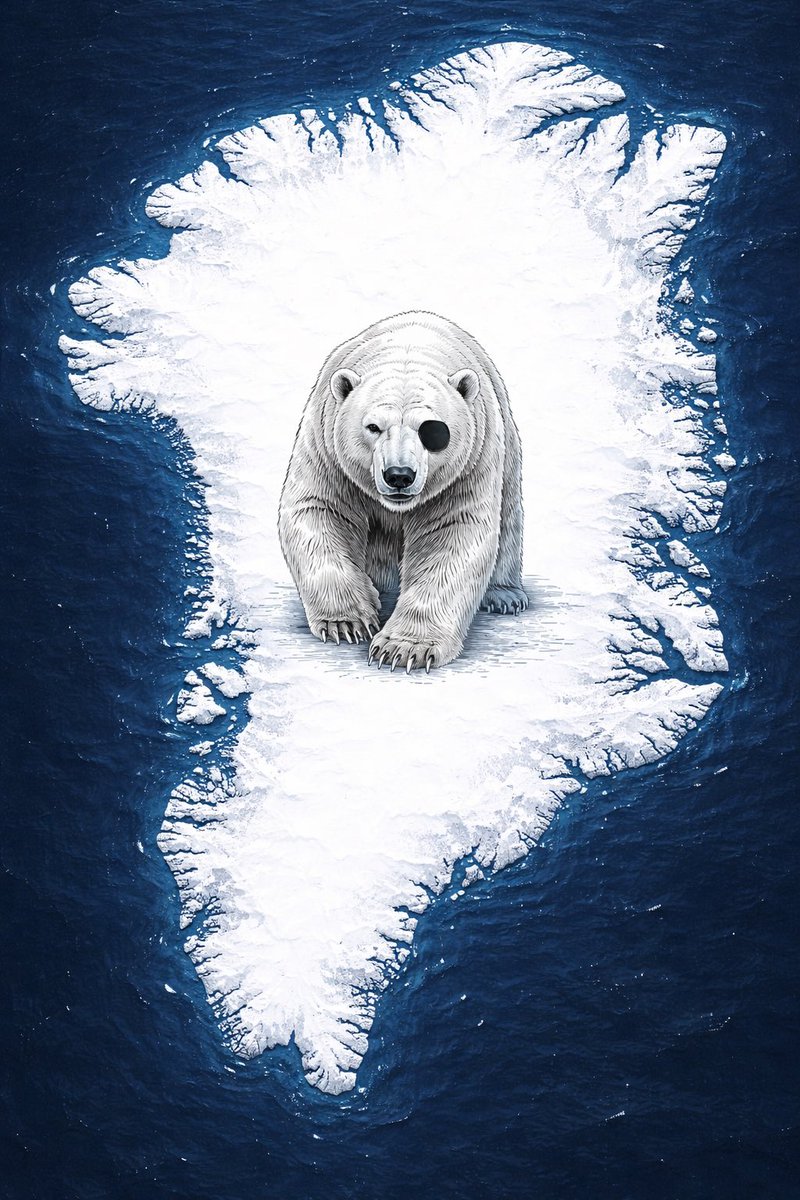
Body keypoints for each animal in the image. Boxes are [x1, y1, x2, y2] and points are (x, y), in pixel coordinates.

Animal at [278, 310, 527, 671]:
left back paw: (504, 595)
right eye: (373, 427)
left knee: (508, 513)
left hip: (506, 437)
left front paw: (404, 649)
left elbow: (453, 533)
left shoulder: (469, 462)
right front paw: (348, 623)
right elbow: (319, 509)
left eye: (433, 430)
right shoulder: (325, 443)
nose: (399, 476)